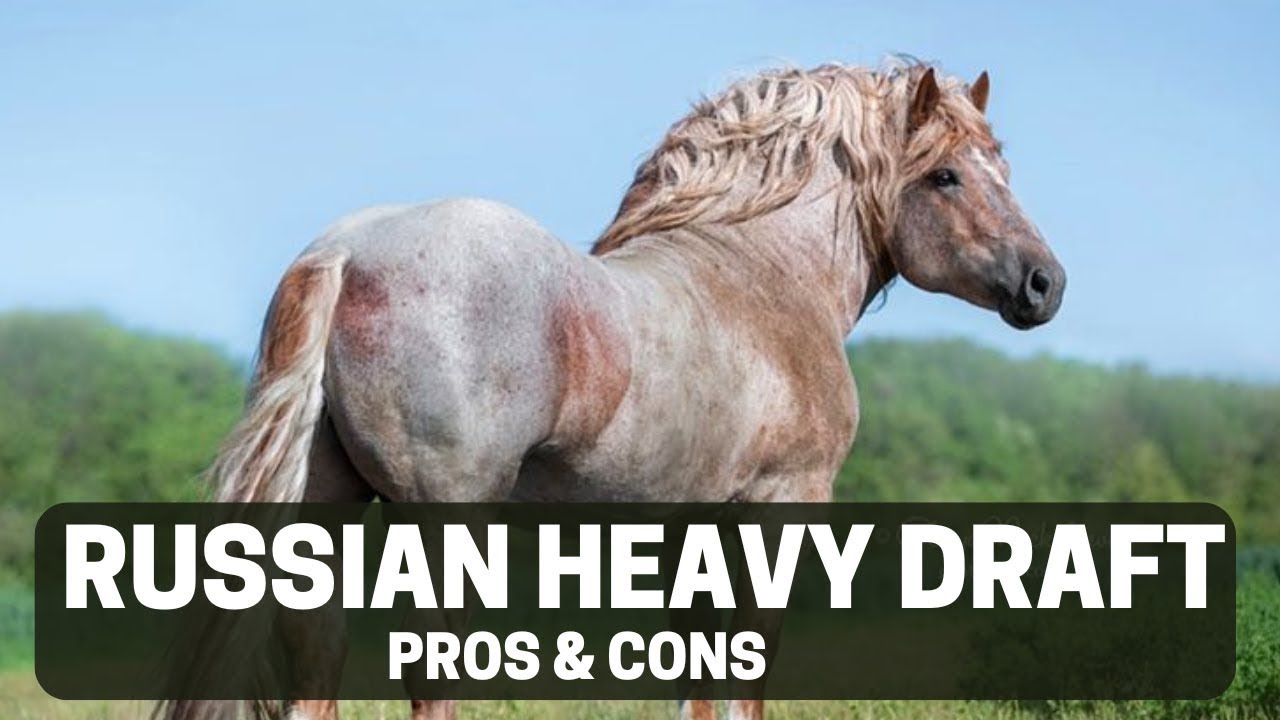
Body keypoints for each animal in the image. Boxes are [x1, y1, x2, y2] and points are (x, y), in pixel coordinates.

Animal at [160, 60, 1064, 720]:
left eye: (1002, 166)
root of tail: (346, 251)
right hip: (445, 519)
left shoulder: (692, 533)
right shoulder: (782, 508)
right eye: (945, 176)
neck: (764, 272)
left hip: (324, 513)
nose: (1044, 283)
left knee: (317, 659)